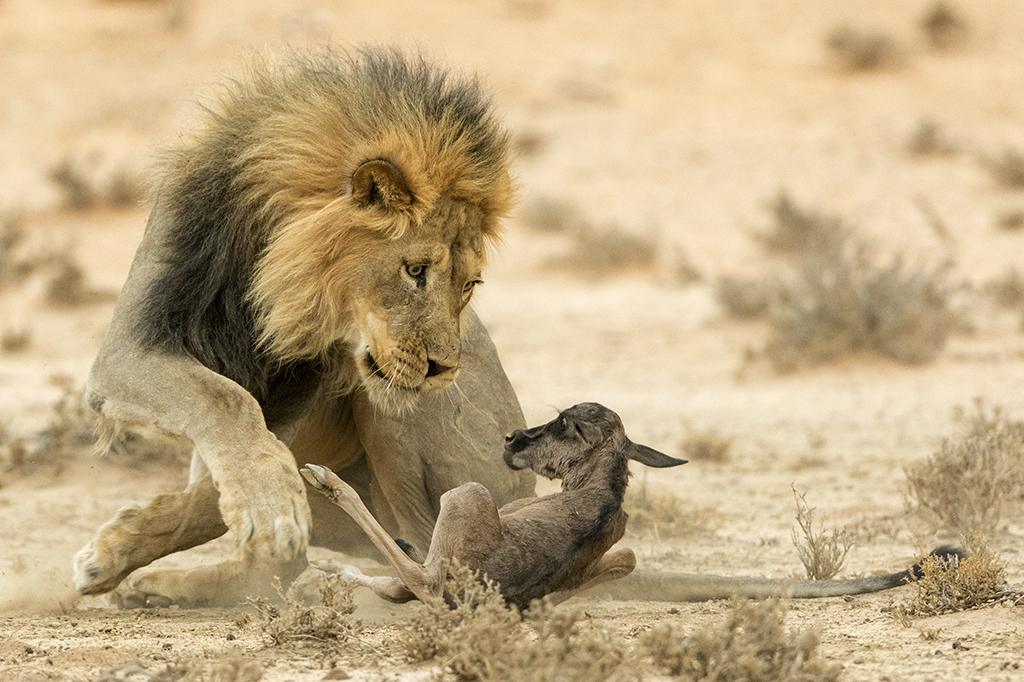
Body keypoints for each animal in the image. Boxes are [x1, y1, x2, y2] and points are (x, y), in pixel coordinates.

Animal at [71, 51, 532, 606]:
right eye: (416, 270)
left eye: (469, 284)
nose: (444, 369)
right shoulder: (131, 348)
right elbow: (225, 403)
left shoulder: (294, 392)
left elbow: (225, 468)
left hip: (397, 417)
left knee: (419, 553)